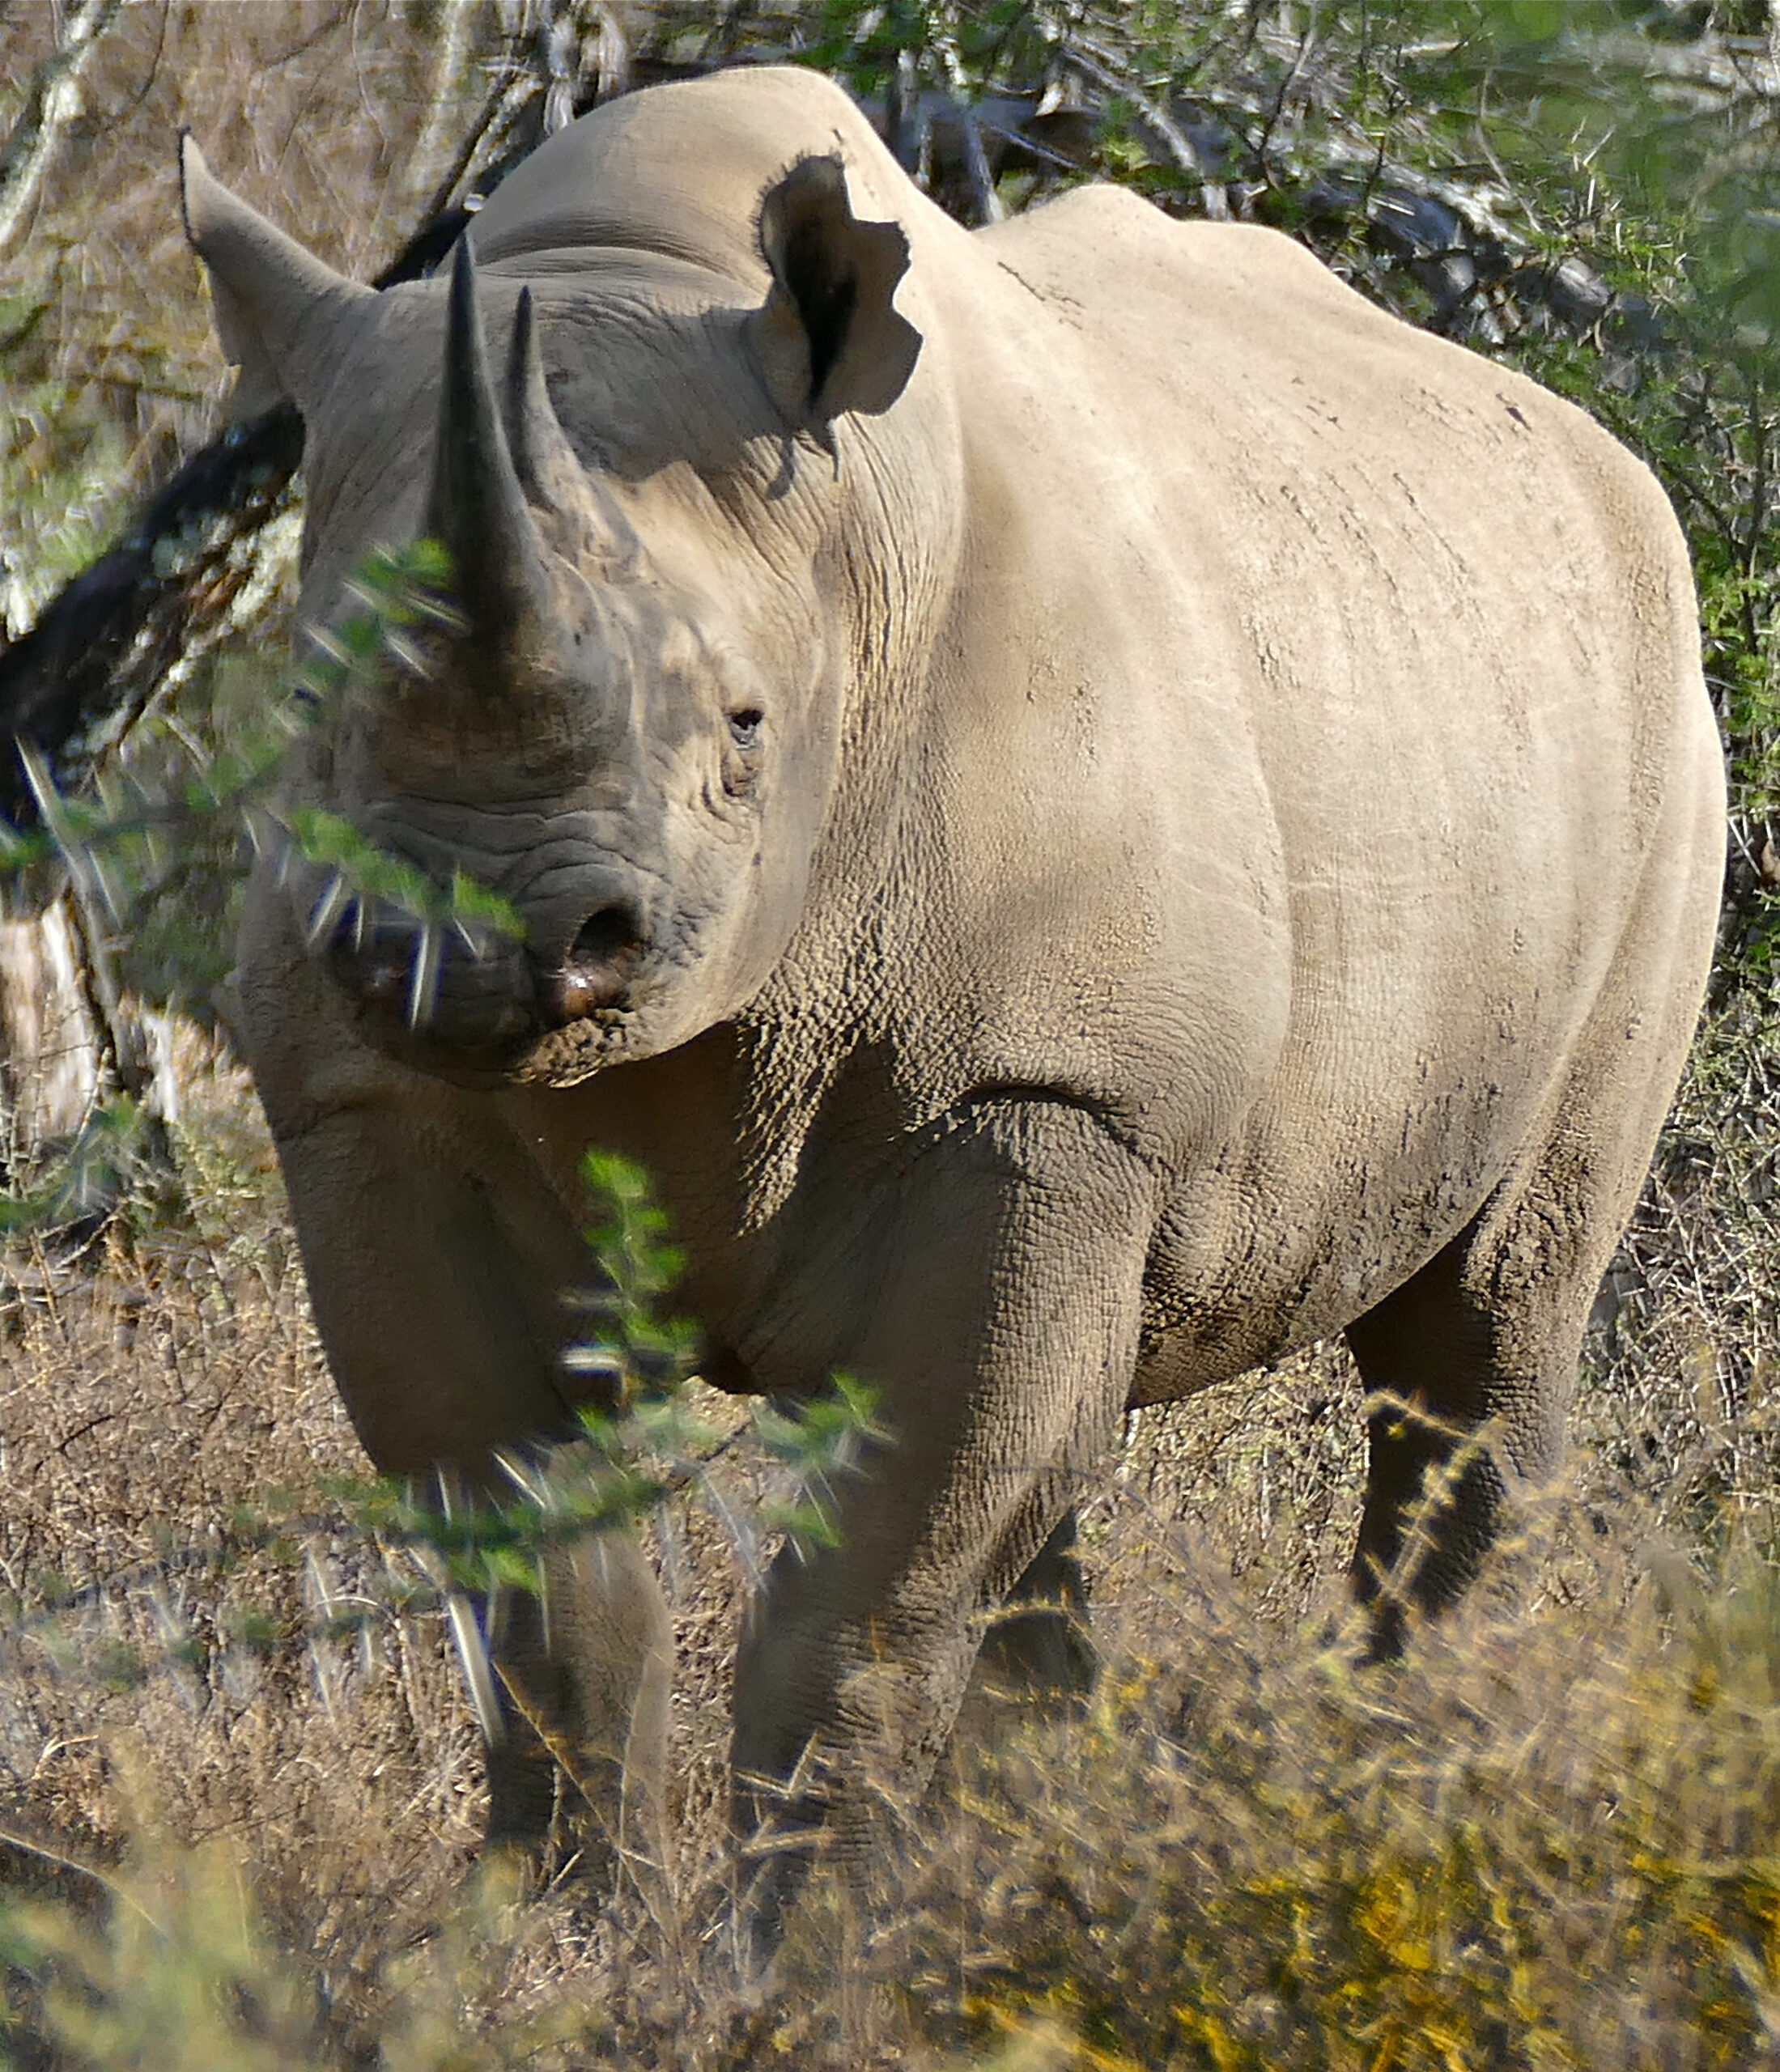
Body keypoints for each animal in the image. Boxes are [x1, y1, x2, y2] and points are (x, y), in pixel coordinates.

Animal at [179, 64, 1723, 1915]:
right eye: (311, 710)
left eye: (743, 729)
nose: (479, 946)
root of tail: (1592, 453)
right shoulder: (364, 1103)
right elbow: (547, 1590)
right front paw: (564, 1930)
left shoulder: (1050, 1090)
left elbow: (868, 1591)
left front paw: (801, 1946)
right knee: (1056, 1472)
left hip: (1656, 740)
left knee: (1478, 1340)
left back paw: (1404, 1824)